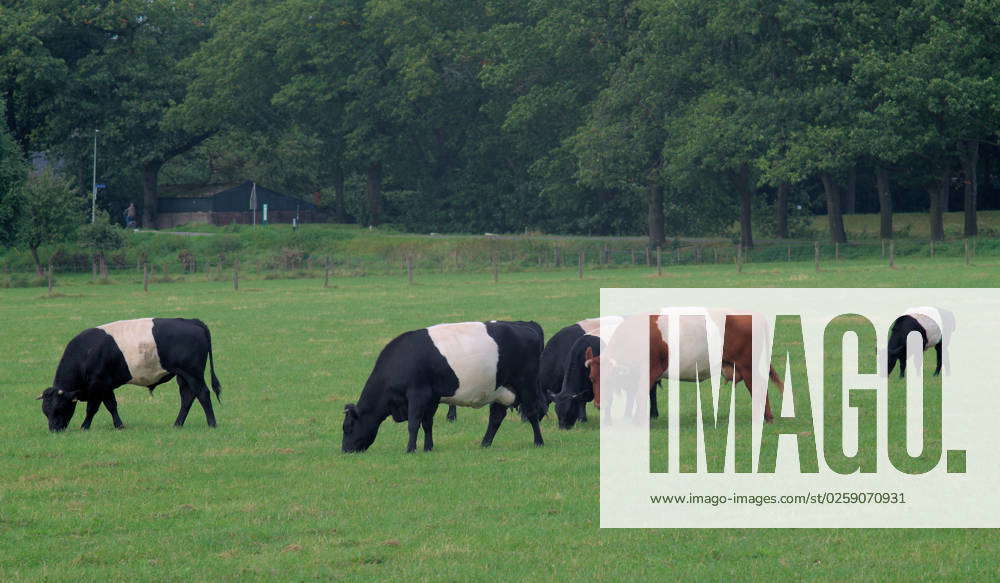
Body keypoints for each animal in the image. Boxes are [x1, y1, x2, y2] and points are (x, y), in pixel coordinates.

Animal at [38, 318, 222, 432]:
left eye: (60, 408)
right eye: (45, 411)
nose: (54, 429)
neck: (85, 354)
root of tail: (191, 321)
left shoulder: (98, 385)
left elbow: (93, 408)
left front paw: (85, 426)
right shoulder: (105, 387)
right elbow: (111, 405)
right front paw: (119, 425)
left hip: (193, 373)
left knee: (203, 394)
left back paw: (212, 424)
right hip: (183, 376)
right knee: (187, 397)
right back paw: (177, 424)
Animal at [344, 322, 548, 454]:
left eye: (348, 427)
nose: (345, 450)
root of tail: (527, 328)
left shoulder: (417, 394)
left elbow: (413, 424)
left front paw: (410, 449)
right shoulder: (431, 398)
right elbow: (427, 423)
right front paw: (428, 448)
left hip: (527, 384)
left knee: (532, 412)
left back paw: (538, 442)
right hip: (499, 390)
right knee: (496, 417)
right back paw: (484, 444)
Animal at [584, 314, 784, 424]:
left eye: (609, 379)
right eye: (592, 379)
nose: (599, 405)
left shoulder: (650, 371)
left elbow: (641, 395)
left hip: (748, 367)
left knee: (758, 387)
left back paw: (764, 417)